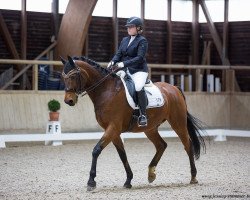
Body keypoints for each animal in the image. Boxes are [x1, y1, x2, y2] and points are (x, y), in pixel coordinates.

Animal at [61, 55, 205, 191]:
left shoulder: (113, 127)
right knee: (161, 145)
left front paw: (91, 182)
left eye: (73, 76)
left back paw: (193, 177)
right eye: (63, 76)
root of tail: (174, 87)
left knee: (188, 145)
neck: (106, 91)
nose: (69, 101)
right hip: (150, 128)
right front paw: (128, 180)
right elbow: (122, 154)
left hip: (178, 123)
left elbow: (96, 150)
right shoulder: (113, 131)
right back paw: (151, 173)